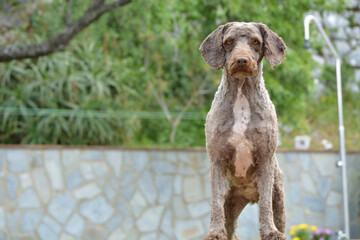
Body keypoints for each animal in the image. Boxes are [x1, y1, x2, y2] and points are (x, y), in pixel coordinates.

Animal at [200, 21, 286, 239]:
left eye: (256, 42)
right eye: (229, 41)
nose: (241, 60)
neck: (241, 96)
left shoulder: (265, 159)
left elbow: (265, 204)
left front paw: (269, 231)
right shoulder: (217, 160)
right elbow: (215, 203)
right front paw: (214, 233)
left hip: (279, 196)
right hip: (230, 204)